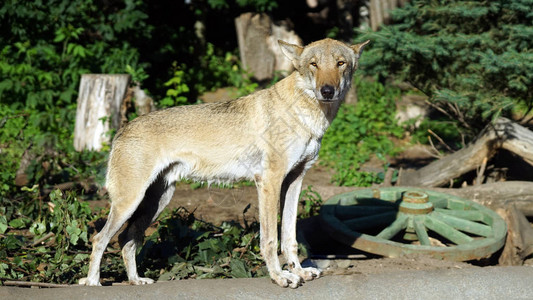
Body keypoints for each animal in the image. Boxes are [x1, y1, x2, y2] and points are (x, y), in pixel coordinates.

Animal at [79, 37, 368, 288]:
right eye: (314, 64)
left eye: (340, 63)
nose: (327, 91)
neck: (305, 113)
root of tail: (121, 130)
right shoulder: (269, 182)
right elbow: (270, 240)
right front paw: (279, 277)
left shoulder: (294, 181)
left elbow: (289, 238)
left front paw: (298, 271)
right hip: (130, 202)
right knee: (100, 238)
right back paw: (93, 283)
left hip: (155, 203)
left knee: (126, 239)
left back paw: (136, 281)